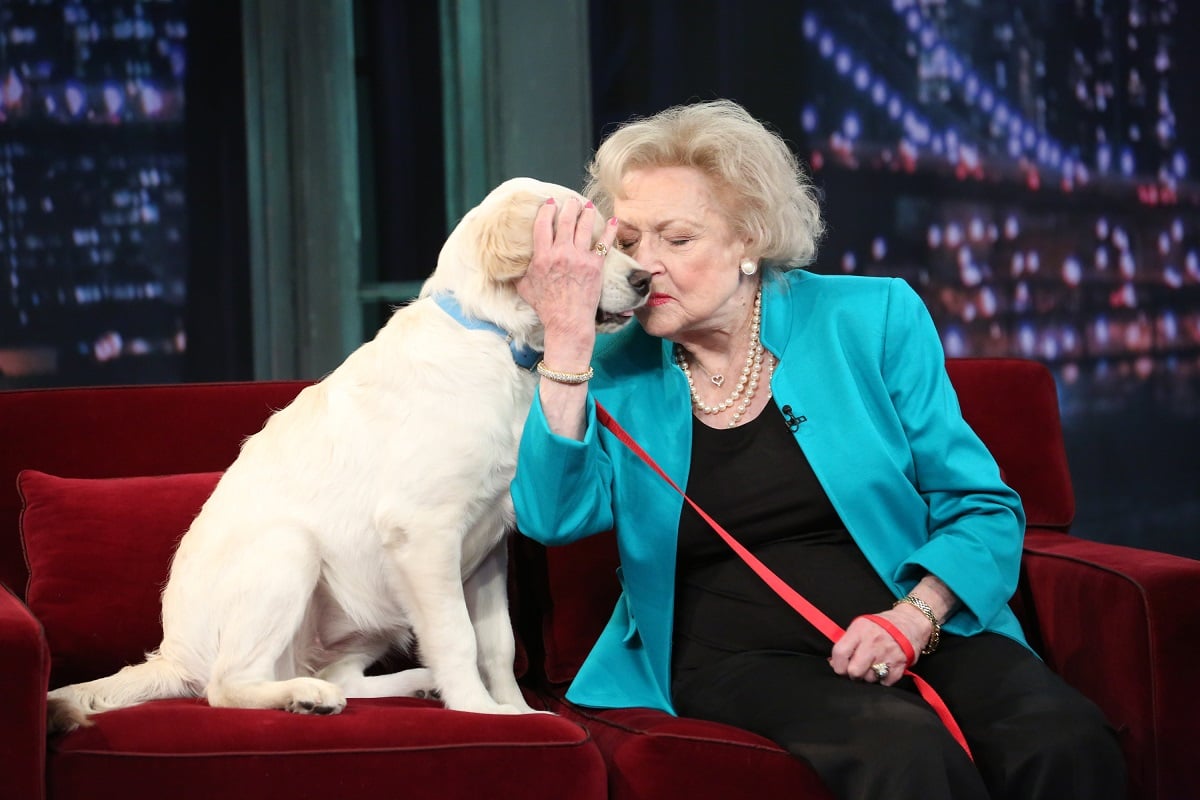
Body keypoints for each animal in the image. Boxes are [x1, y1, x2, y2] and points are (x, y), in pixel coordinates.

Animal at [46, 178, 652, 734]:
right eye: (592, 246)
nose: (646, 280)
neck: (495, 340)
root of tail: (172, 655)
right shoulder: (423, 534)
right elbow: (458, 636)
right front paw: (480, 712)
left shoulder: (487, 547)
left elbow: (497, 644)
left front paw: (517, 709)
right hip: (290, 551)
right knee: (229, 685)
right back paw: (306, 697)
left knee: (338, 674)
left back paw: (409, 683)